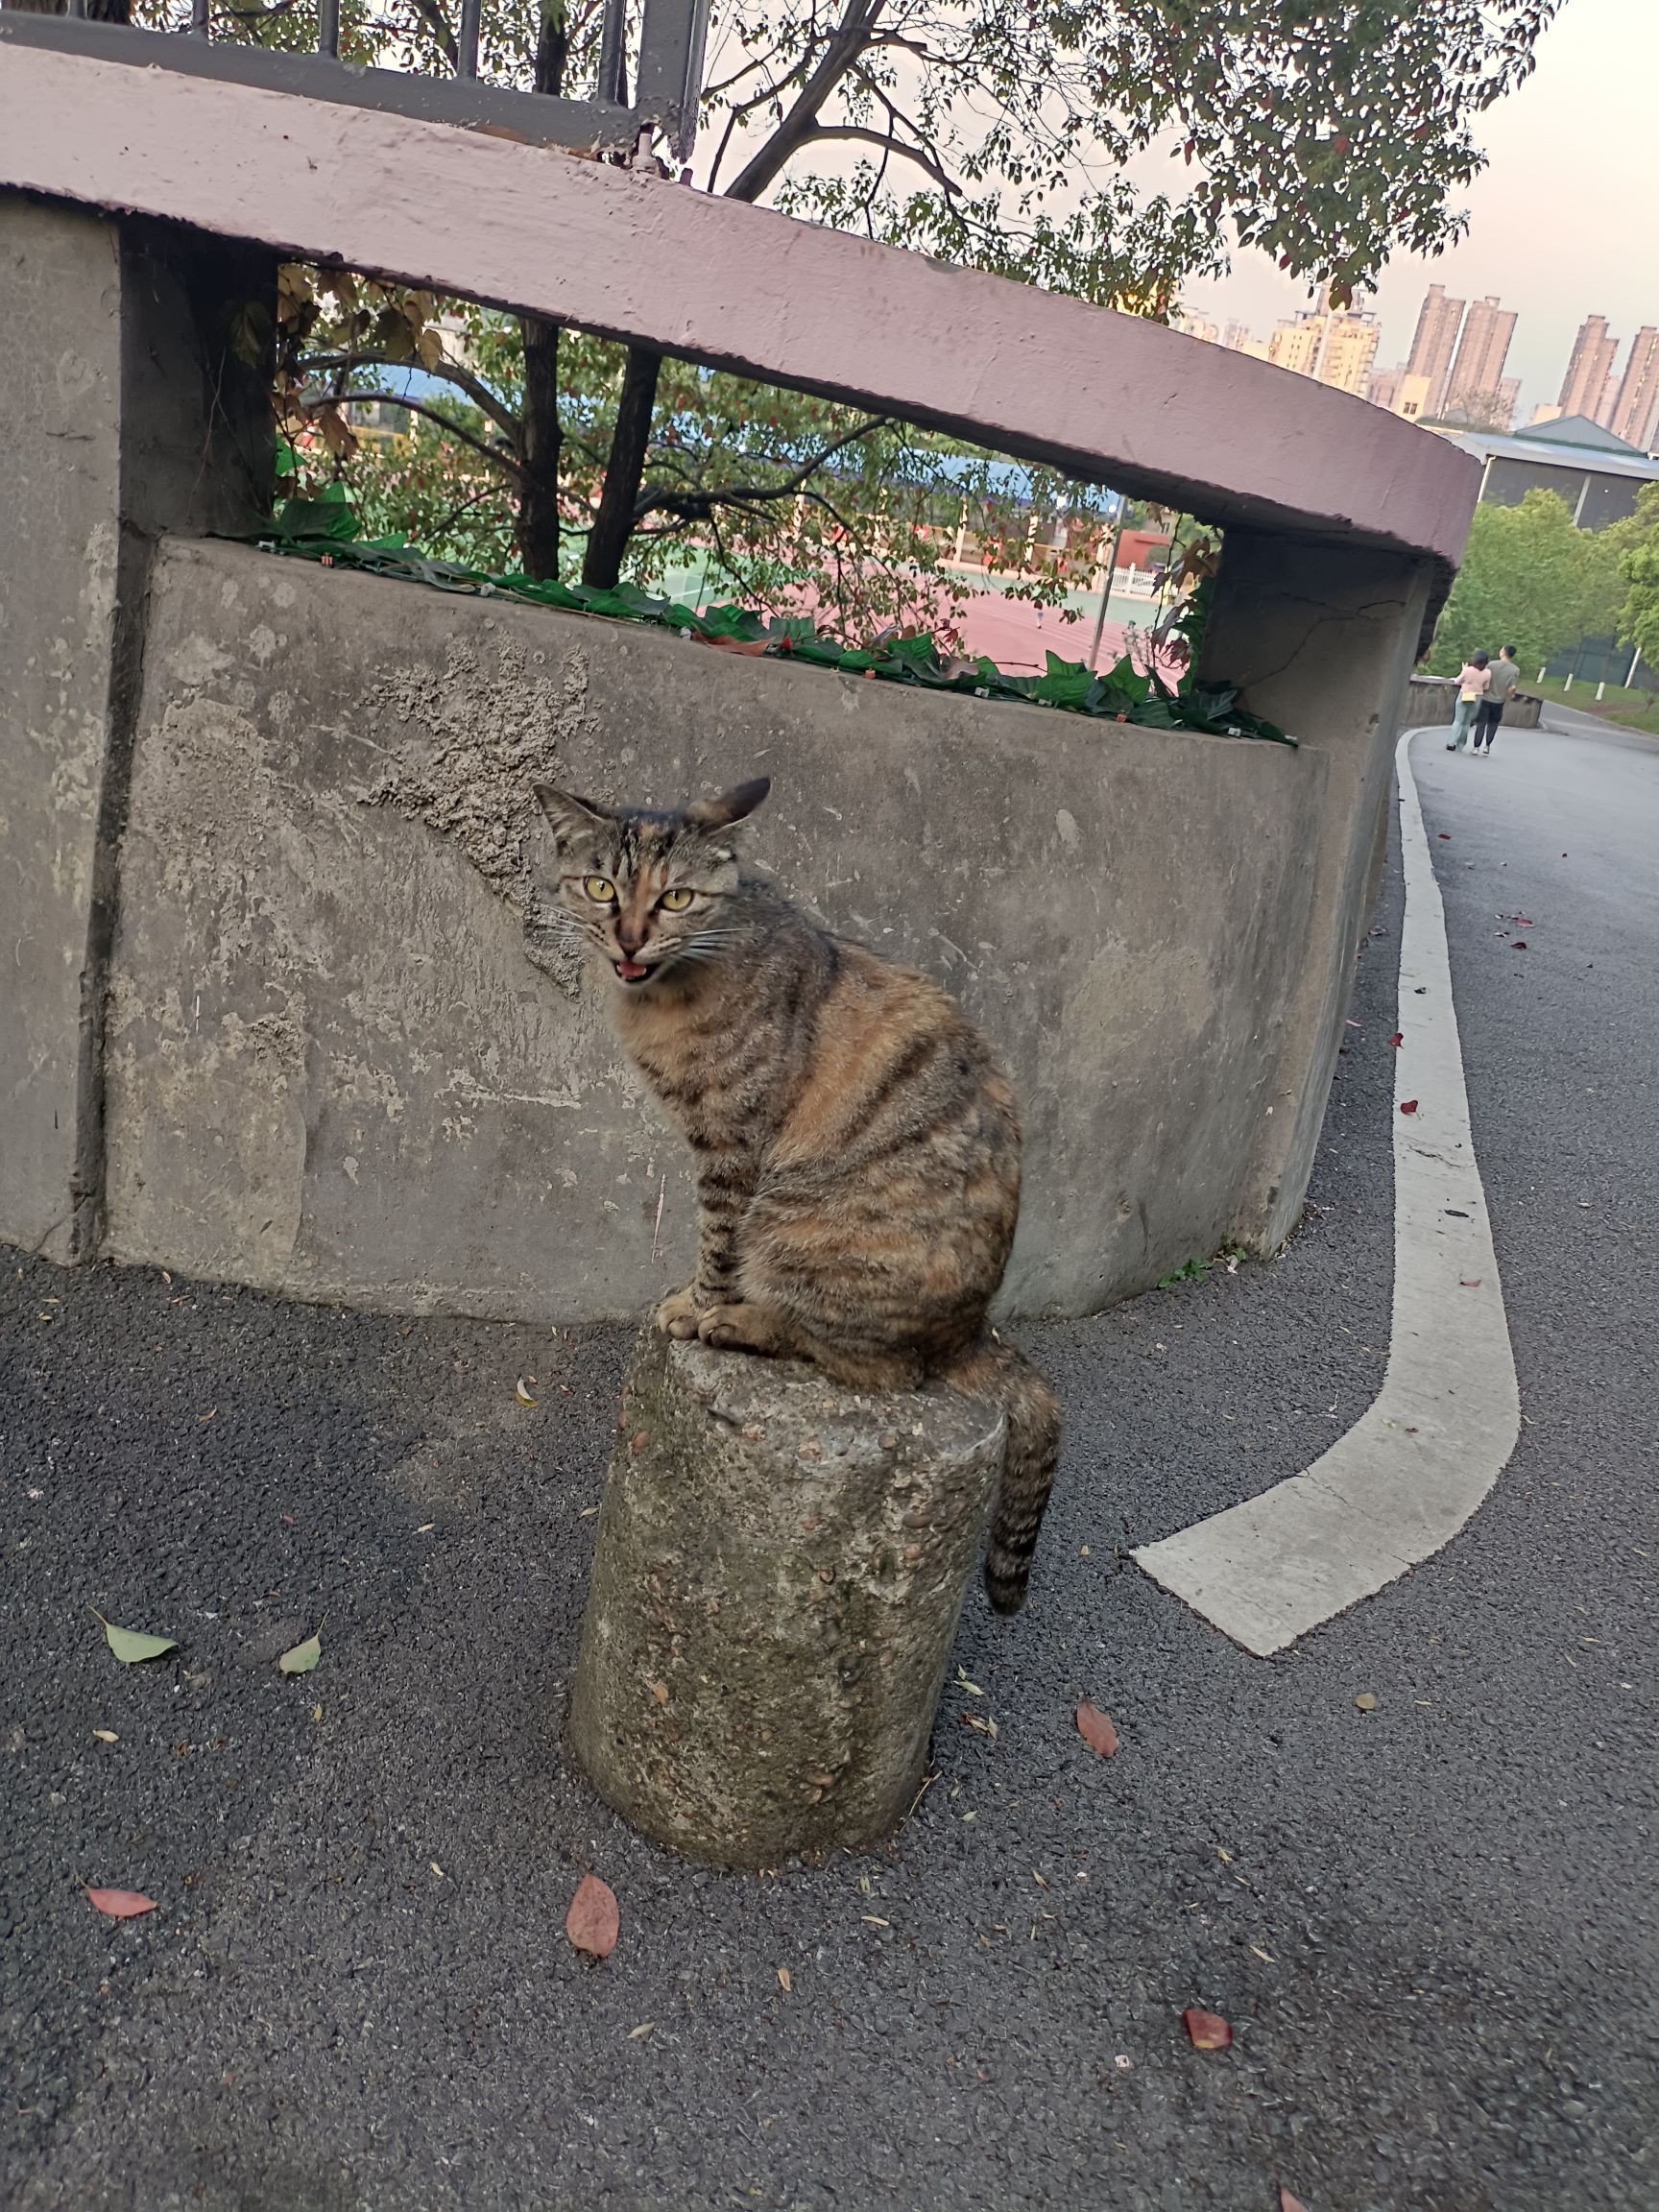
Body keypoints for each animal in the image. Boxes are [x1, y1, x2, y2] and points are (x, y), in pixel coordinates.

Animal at [532, 775, 1061, 1614]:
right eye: (601, 887)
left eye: (676, 897)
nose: (630, 940)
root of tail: (973, 1331)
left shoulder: (735, 1148)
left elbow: (716, 1240)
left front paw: (700, 1305)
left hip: (794, 1222)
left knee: (879, 1368)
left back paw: (744, 1323)